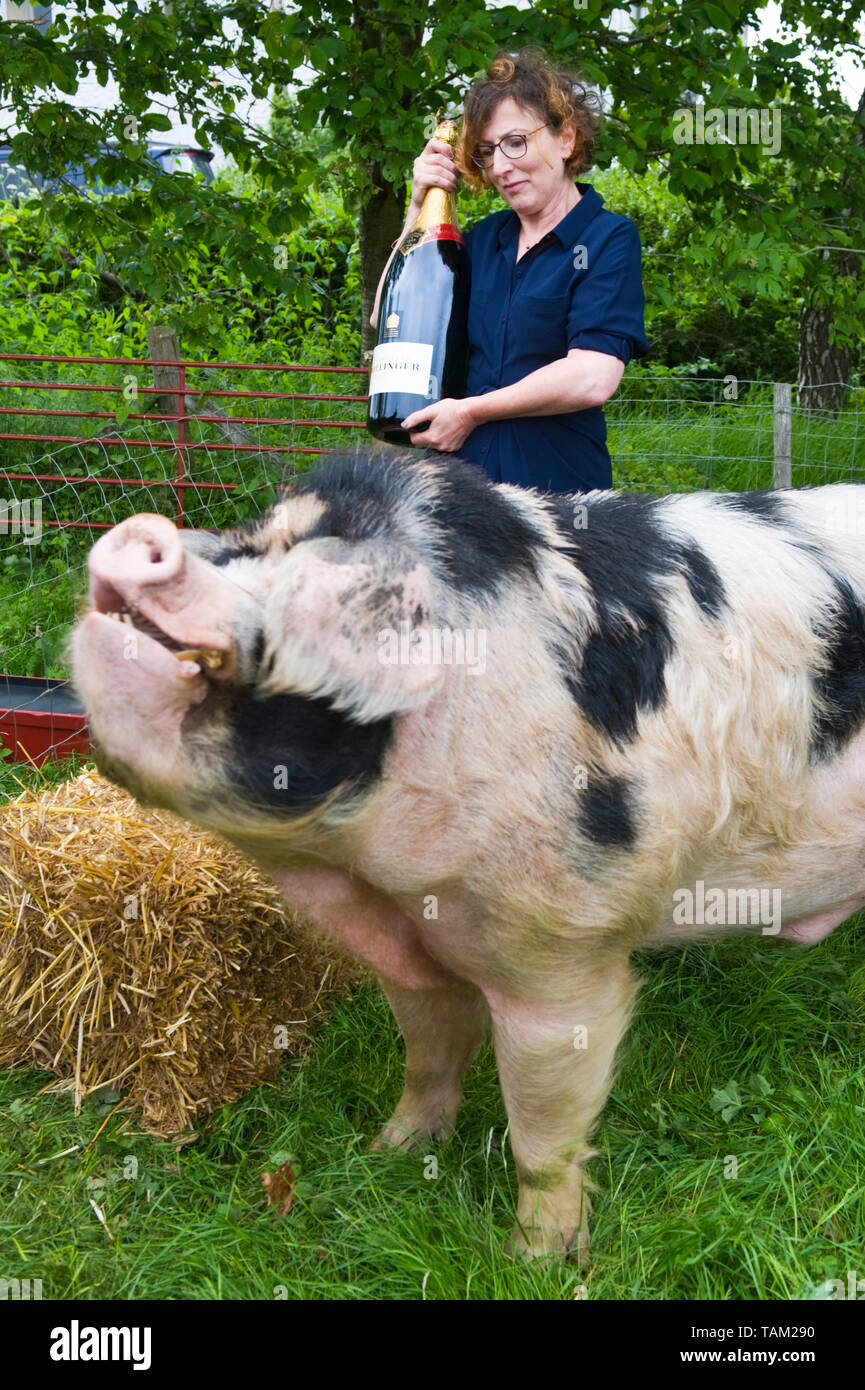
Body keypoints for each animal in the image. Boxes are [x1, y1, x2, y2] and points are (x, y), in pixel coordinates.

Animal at [67, 444, 865, 1262]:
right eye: (253, 540)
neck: (367, 879)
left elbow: (542, 1130)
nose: (141, 533)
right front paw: (389, 1153)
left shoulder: (562, 955)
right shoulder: (413, 952)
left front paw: (537, 1259)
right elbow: (426, 1054)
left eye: (304, 568)